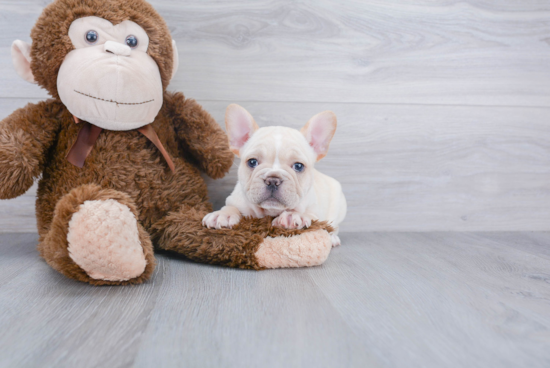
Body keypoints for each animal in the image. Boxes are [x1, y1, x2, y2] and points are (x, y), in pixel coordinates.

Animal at [203, 104, 350, 247]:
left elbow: (308, 214)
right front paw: (222, 215)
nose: (273, 180)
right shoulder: (235, 199)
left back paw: (333, 238)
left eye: (298, 166)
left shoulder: (315, 210)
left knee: (333, 226)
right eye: (252, 162)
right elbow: (231, 207)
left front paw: (293, 216)